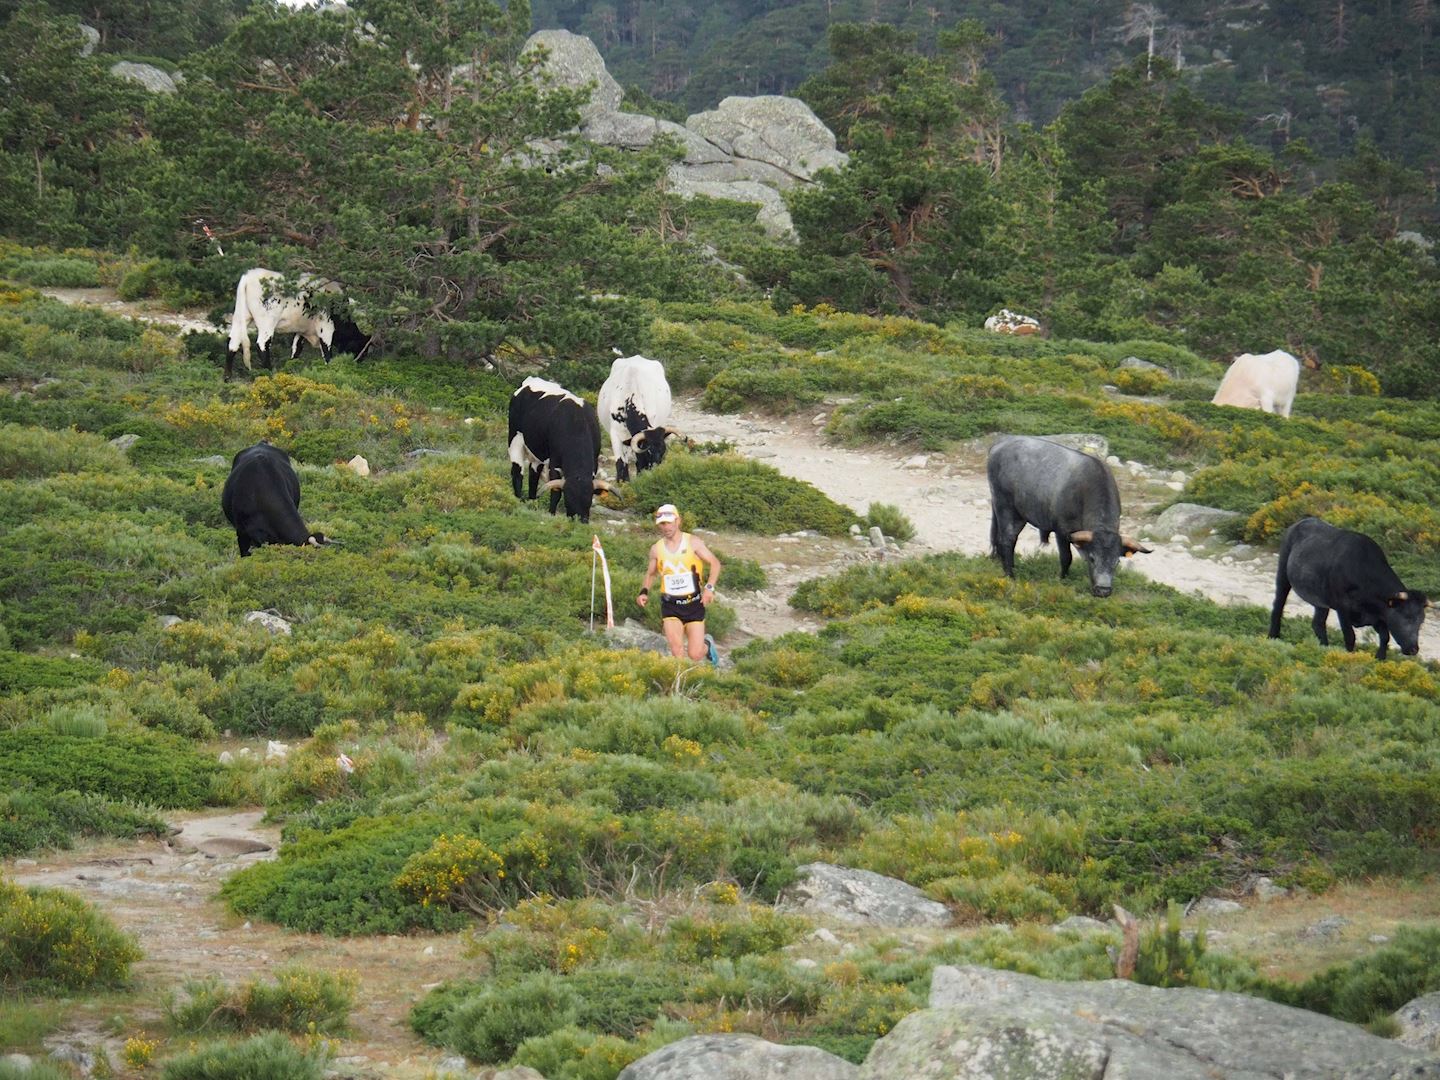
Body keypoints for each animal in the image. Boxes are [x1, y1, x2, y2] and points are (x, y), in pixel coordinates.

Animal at [221, 269, 371, 383]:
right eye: (361, 348)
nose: (357, 363)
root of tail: (250, 275)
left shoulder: (302, 331)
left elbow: (296, 349)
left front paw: (290, 369)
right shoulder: (326, 328)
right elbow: (327, 352)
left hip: (240, 317)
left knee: (233, 342)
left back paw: (227, 378)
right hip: (267, 321)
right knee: (262, 345)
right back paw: (270, 374)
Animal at [509, 377, 610, 524]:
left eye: (589, 499)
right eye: (569, 498)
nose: (582, 520)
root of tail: (530, 381)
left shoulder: (594, 462)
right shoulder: (555, 463)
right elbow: (555, 492)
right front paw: (551, 513)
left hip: (538, 452)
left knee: (534, 474)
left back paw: (533, 502)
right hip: (515, 439)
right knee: (517, 472)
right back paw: (518, 500)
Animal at [984, 434, 1152, 601]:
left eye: (1116, 562)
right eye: (1092, 558)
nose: (1103, 590)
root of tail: (1000, 444)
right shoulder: (1062, 532)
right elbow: (1066, 557)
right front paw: (1062, 579)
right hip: (1005, 507)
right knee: (1007, 540)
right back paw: (1010, 575)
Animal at [1267, 515, 1422, 659]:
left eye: (1420, 621)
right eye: (1406, 617)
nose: (1414, 649)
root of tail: (1302, 521)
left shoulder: (1377, 615)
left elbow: (1385, 637)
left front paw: (1380, 659)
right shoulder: (1342, 607)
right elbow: (1350, 637)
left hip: (1320, 599)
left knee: (1318, 623)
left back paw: (1324, 647)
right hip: (1283, 574)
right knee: (1278, 606)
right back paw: (1273, 636)